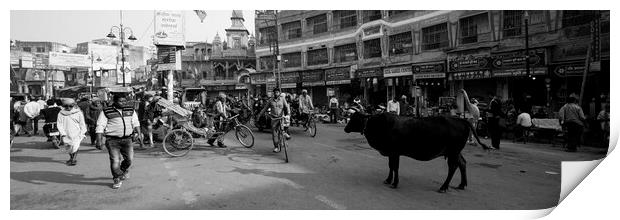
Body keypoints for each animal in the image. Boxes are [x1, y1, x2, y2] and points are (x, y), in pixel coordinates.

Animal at [342, 111, 492, 192]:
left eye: (354, 118)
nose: (345, 128)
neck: (379, 124)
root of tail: (462, 120)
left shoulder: (395, 152)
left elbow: (395, 167)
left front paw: (395, 183)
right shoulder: (391, 153)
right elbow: (390, 166)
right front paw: (388, 180)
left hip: (453, 152)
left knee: (453, 167)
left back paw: (444, 187)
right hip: (455, 152)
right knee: (462, 163)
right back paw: (461, 184)